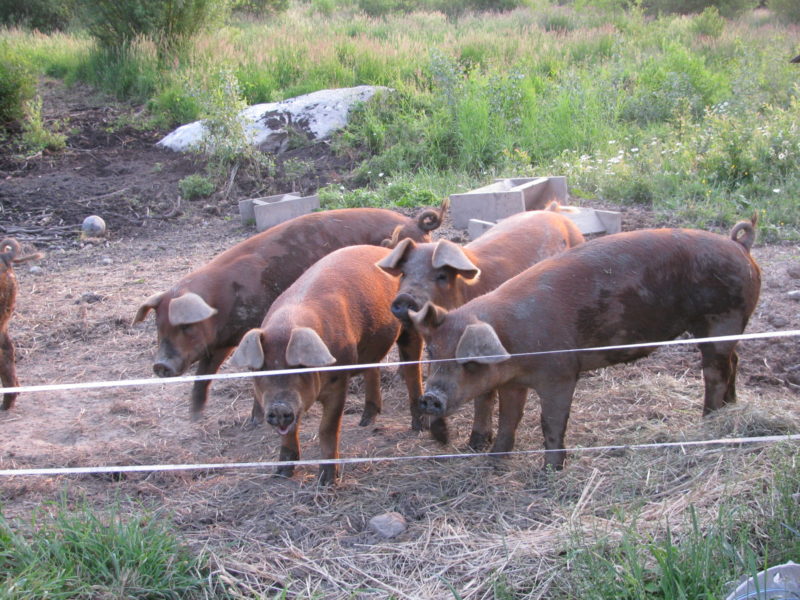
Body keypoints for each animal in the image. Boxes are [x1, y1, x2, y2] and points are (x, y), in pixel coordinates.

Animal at [133, 205, 444, 420]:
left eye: (186, 326)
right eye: (159, 326)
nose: (160, 365)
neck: (222, 303)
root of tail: (414, 223)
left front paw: (255, 420)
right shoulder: (221, 341)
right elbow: (204, 372)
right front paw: (195, 416)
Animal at [229, 244, 421, 484]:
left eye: (300, 367)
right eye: (260, 369)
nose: (279, 407)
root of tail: (385, 250)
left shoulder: (339, 381)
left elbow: (327, 429)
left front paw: (327, 481)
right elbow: (290, 431)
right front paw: (281, 474)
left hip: (410, 327)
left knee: (413, 371)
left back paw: (417, 427)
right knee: (372, 368)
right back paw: (365, 421)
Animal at [376, 203, 584, 438]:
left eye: (441, 276)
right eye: (403, 273)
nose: (405, 298)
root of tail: (553, 211)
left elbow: (484, 395)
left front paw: (477, 442)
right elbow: (419, 375)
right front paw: (422, 427)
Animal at [410, 219, 761, 471]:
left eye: (469, 362)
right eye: (433, 352)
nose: (431, 398)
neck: (513, 344)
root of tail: (740, 245)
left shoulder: (561, 374)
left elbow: (550, 422)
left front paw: (550, 471)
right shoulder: (512, 382)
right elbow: (511, 417)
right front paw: (495, 462)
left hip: (723, 318)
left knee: (715, 372)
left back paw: (709, 422)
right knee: (734, 362)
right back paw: (730, 408)